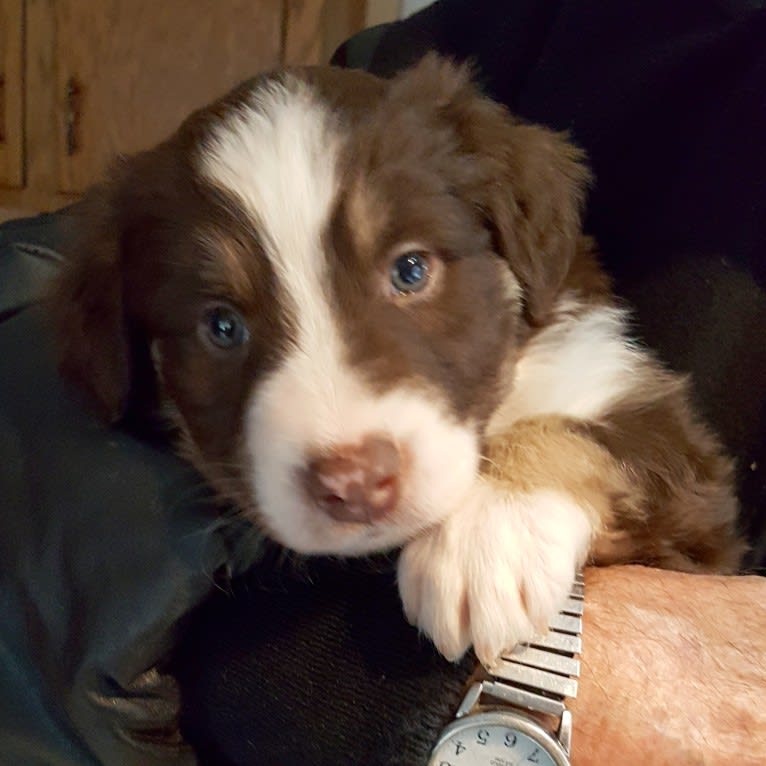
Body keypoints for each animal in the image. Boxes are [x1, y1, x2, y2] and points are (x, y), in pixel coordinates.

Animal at [52, 55, 744, 664]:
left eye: (411, 269)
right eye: (221, 326)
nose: (356, 483)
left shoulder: (660, 438)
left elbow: (575, 433)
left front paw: (488, 533)